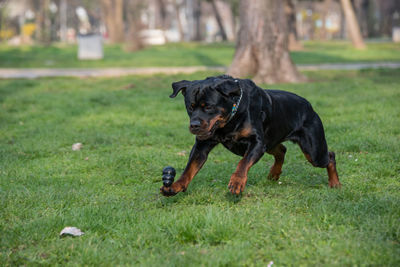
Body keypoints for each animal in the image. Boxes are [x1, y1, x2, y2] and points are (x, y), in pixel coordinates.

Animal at [159, 75, 340, 197]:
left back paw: (335, 183)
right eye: (190, 107)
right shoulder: (202, 146)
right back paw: (274, 174)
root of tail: (309, 105)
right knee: (282, 150)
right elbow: (190, 168)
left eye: (208, 107)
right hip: (271, 142)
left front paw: (237, 181)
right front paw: (176, 186)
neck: (230, 119)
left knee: (329, 156)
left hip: (313, 151)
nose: (194, 125)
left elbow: (243, 162)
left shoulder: (257, 143)